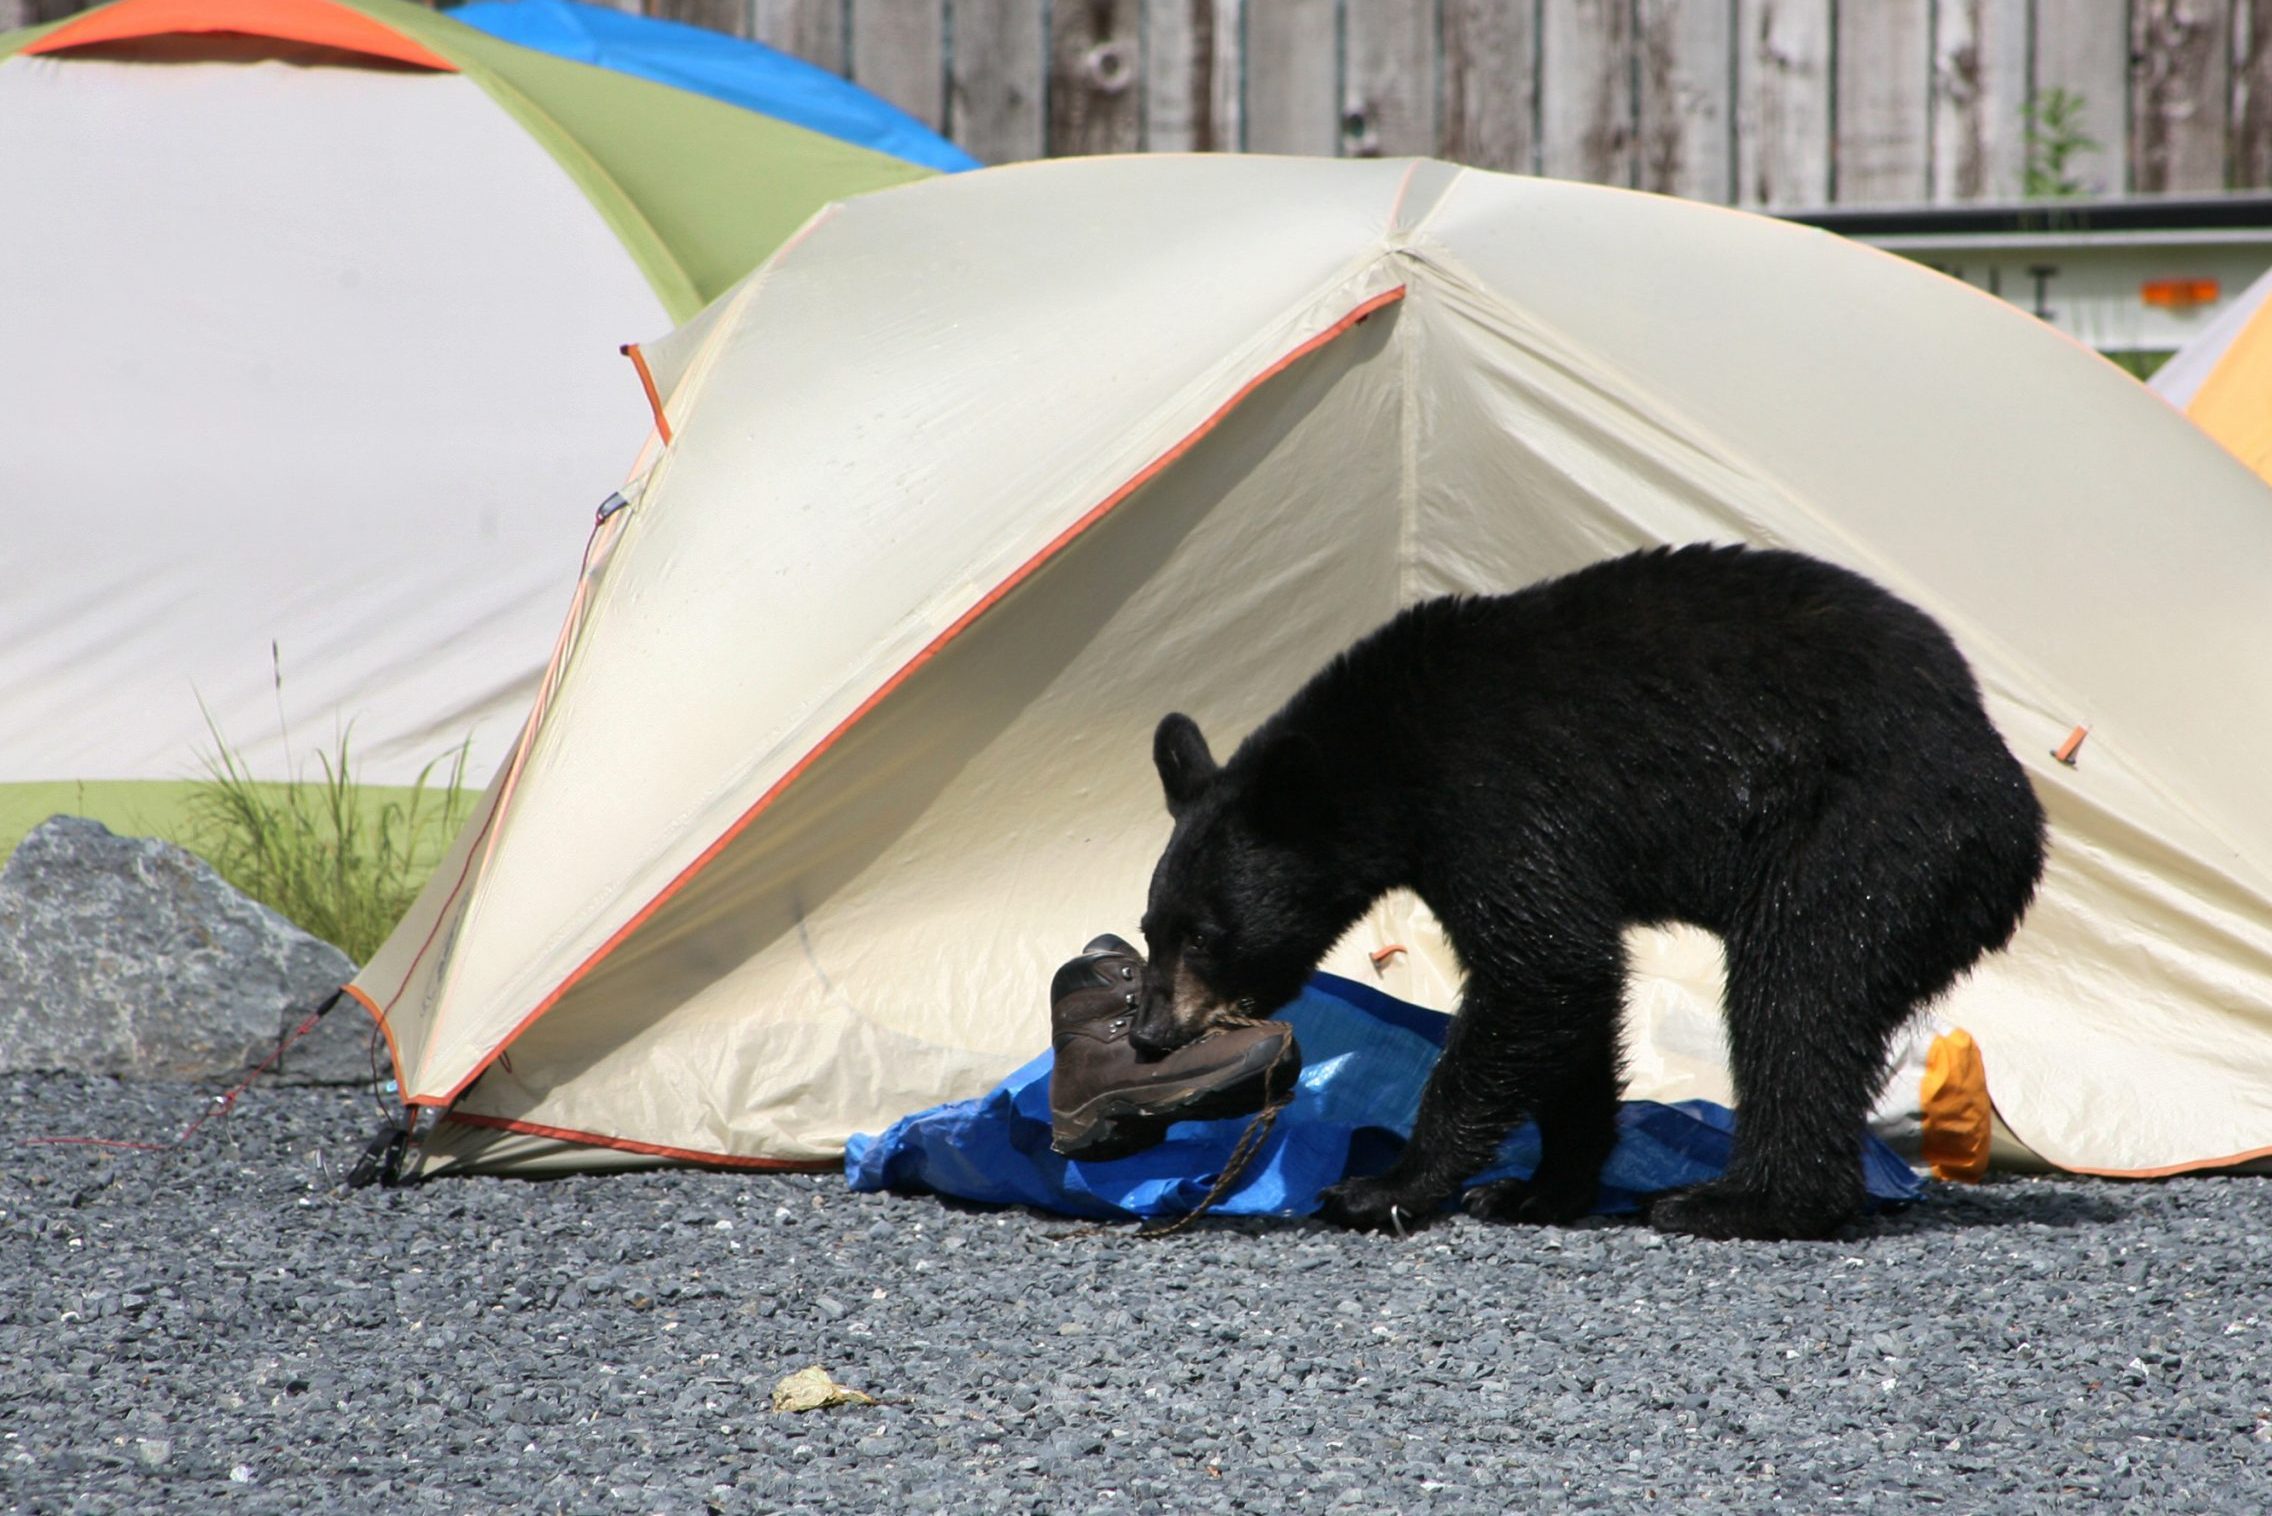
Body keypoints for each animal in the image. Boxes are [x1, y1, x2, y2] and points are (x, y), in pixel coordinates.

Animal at [1145, 547, 2053, 1245]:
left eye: (1205, 935)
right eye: (1152, 926)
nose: (1152, 1033)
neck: (1391, 759)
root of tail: (2013, 798)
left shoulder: (1499, 799)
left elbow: (1542, 966)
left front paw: (1384, 1186)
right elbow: (1570, 995)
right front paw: (1539, 1189)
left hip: (1872, 835)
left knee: (1799, 988)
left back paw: (1740, 1202)